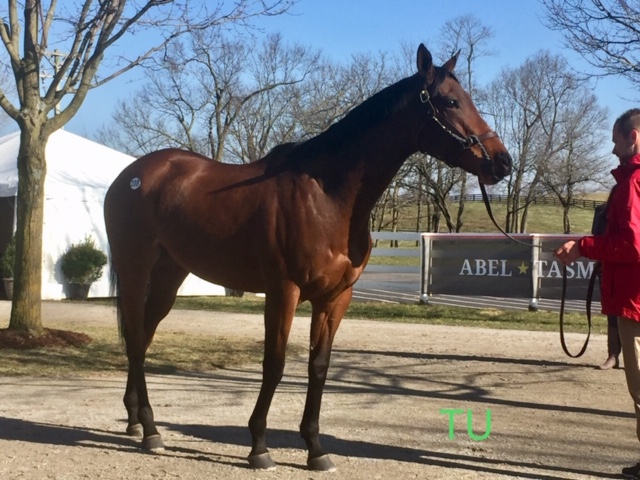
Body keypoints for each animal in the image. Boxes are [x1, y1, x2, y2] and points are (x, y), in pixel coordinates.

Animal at [106, 43, 516, 470]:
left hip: (170, 273)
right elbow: (275, 364)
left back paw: (135, 421)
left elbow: (318, 367)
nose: (503, 161)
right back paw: (150, 430)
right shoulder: (283, 291)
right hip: (135, 268)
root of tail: (132, 175)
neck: (328, 198)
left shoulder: (335, 298)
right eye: (451, 101)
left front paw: (316, 448)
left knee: (144, 337)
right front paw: (259, 446)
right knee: (134, 338)